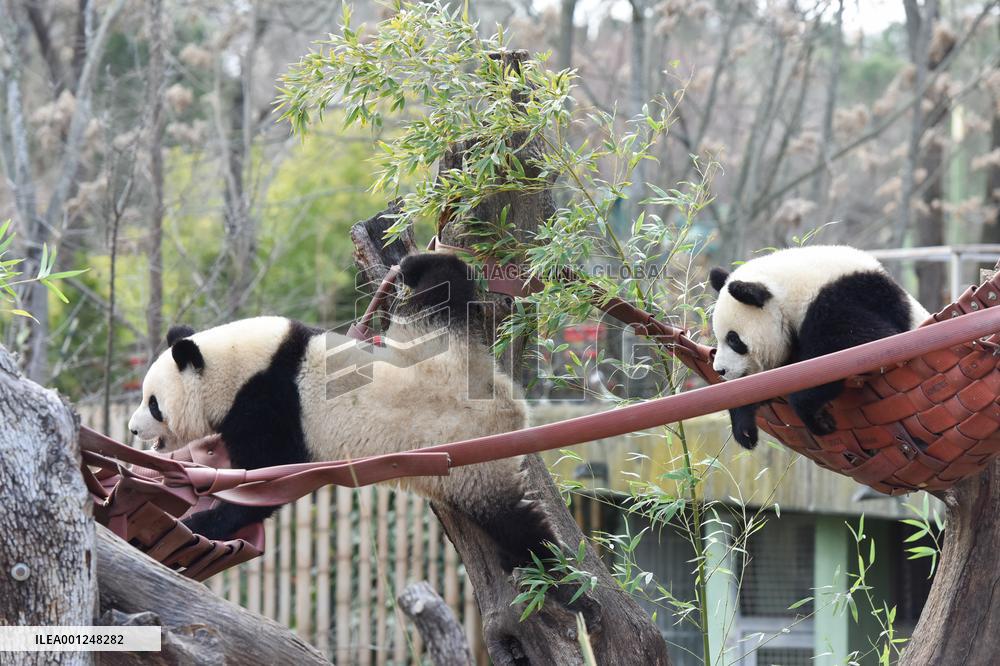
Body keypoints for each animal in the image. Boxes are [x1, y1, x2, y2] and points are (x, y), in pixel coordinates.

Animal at [127, 252, 554, 571]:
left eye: (153, 403)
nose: (132, 429)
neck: (243, 367)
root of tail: (507, 406)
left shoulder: (271, 405)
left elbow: (264, 479)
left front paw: (200, 522)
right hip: (434, 344)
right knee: (444, 289)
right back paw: (418, 262)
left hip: (474, 464)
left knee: (516, 525)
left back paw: (557, 578)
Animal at [709, 245, 930, 449]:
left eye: (733, 339)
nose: (720, 370)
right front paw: (744, 427)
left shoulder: (842, 300)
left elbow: (866, 347)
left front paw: (817, 420)